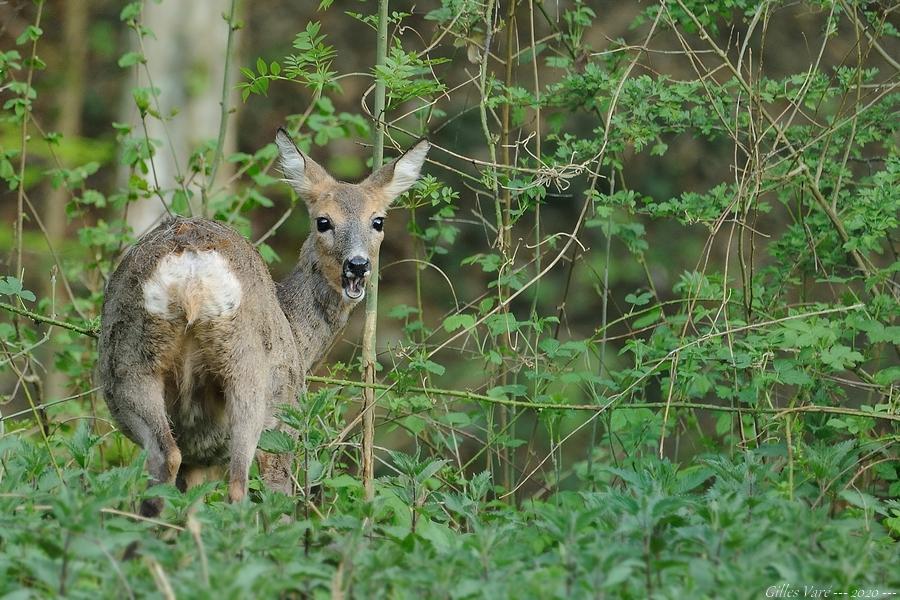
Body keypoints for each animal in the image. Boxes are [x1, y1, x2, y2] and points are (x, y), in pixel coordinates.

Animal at [98, 129, 428, 512]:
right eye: (323, 221)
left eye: (378, 221)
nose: (357, 265)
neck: (298, 333)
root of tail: (190, 273)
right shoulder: (286, 424)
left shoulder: (198, 454)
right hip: (250, 376)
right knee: (238, 484)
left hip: (128, 366)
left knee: (164, 460)